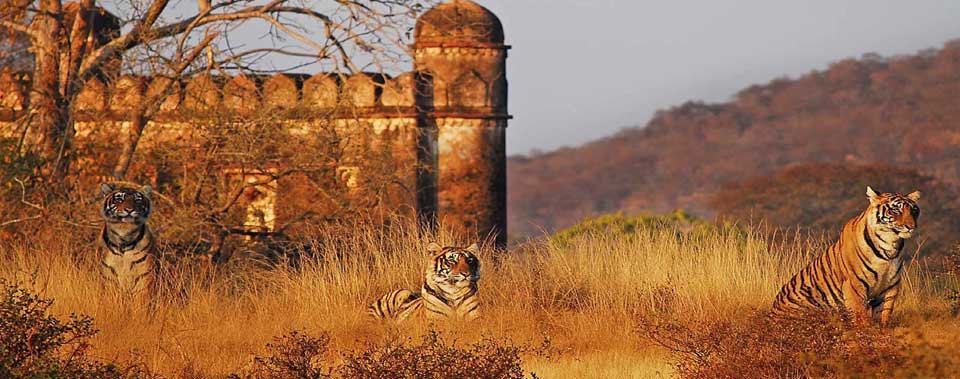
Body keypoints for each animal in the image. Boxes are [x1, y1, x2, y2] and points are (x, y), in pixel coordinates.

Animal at [768, 187, 920, 326]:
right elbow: (860, 317)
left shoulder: (890, 287)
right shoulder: (854, 285)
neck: (889, 245)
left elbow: (884, 315)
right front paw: (864, 332)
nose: (911, 227)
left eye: (914, 211)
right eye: (895, 210)